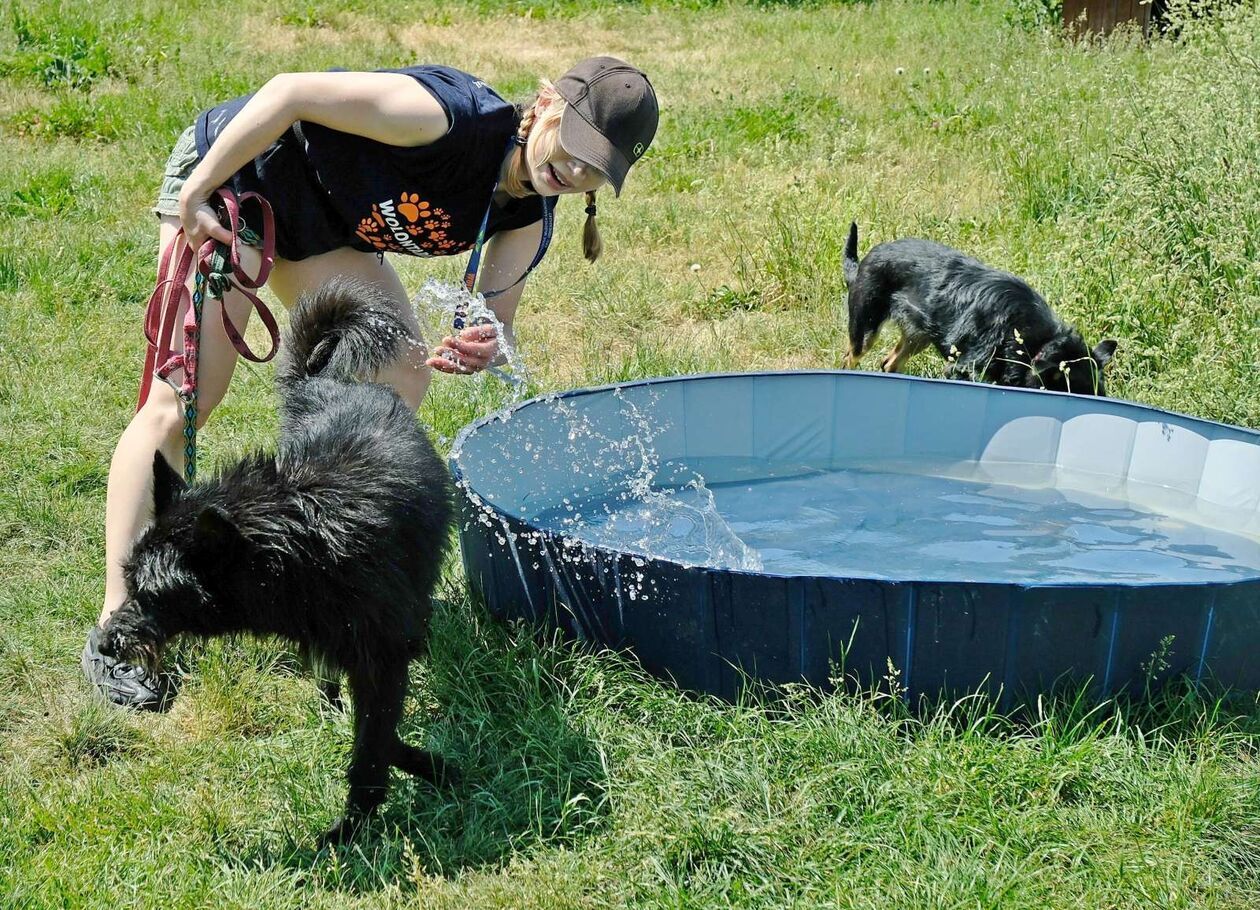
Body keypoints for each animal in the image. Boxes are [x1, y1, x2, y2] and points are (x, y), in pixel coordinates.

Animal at [99, 273, 453, 841]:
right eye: (128, 583)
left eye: (154, 595)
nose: (107, 643)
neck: (300, 545)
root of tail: (329, 381)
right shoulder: (352, 648)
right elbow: (374, 729)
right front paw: (422, 764)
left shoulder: (382, 651)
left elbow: (372, 741)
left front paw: (352, 828)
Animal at [841, 223, 1118, 393]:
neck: (1034, 342)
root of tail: (863, 261)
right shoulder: (961, 369)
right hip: (865, 329)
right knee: (849, 359)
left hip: (918, 336)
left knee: (889, 363)